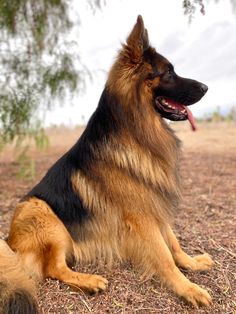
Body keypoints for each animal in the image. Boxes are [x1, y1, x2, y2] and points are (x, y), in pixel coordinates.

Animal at [0, 16, 214, 312]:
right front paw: (188, 289)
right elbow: (164, 256)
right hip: (41, 211)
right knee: (54, 269)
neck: (135, 131)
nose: (206, 88)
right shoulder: (142, 217)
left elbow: (173, 243)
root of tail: (9, 243)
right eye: (168, 73)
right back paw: (89, 281)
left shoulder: (152, 202)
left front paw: (192, 263)